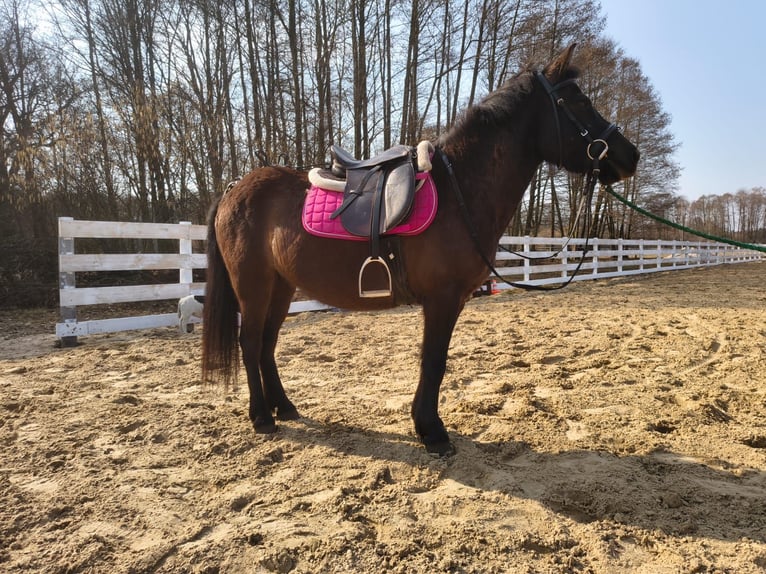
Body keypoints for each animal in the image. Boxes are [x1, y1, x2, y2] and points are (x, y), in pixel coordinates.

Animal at [201, 45, 640, 456]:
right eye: (578, 102)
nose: (630, 155)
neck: (459, 190)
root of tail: (233, 190)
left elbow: (434, 361)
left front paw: (426, 426)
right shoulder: (442, 298)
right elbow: (434, 361)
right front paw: (432, 431)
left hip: (281, 287)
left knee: (267, 345)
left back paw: (285, 407)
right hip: (253, 286)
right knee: (251, 343)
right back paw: (262, 417)